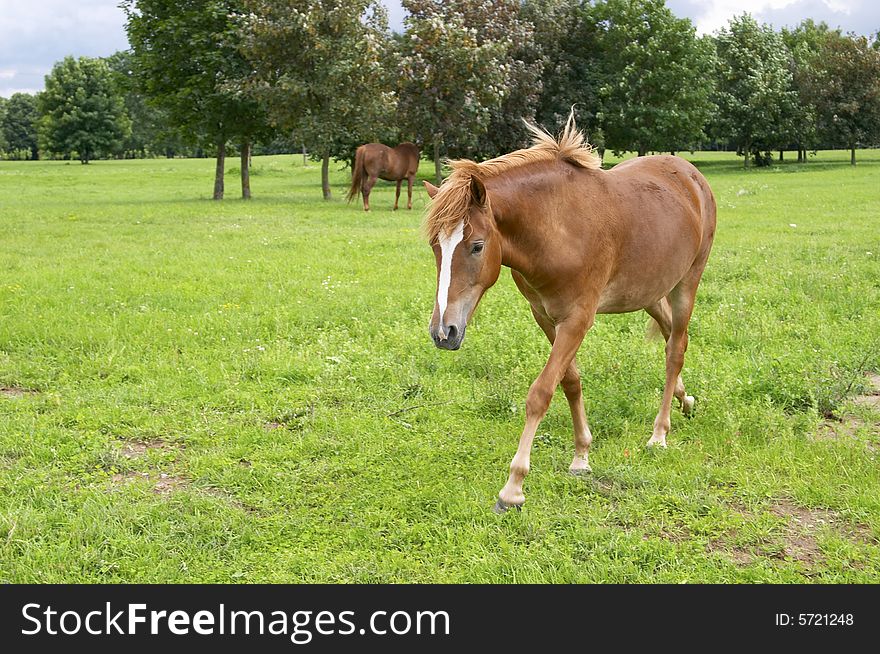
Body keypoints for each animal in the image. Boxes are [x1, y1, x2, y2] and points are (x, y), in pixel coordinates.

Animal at [422, 114, 720, 512]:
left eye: (477, 246)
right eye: (435, 246)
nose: (444, 332)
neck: (557, 228)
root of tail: (690, 174)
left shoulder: (577, 319)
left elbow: (541, 392)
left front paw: (513, 487)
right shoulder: (546, 317)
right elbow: (570, 382)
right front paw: (581, 456)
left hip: (686, 283)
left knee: (675, 350)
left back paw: (659, 433)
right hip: (649, 291)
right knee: (672, 333)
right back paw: (685, 400)